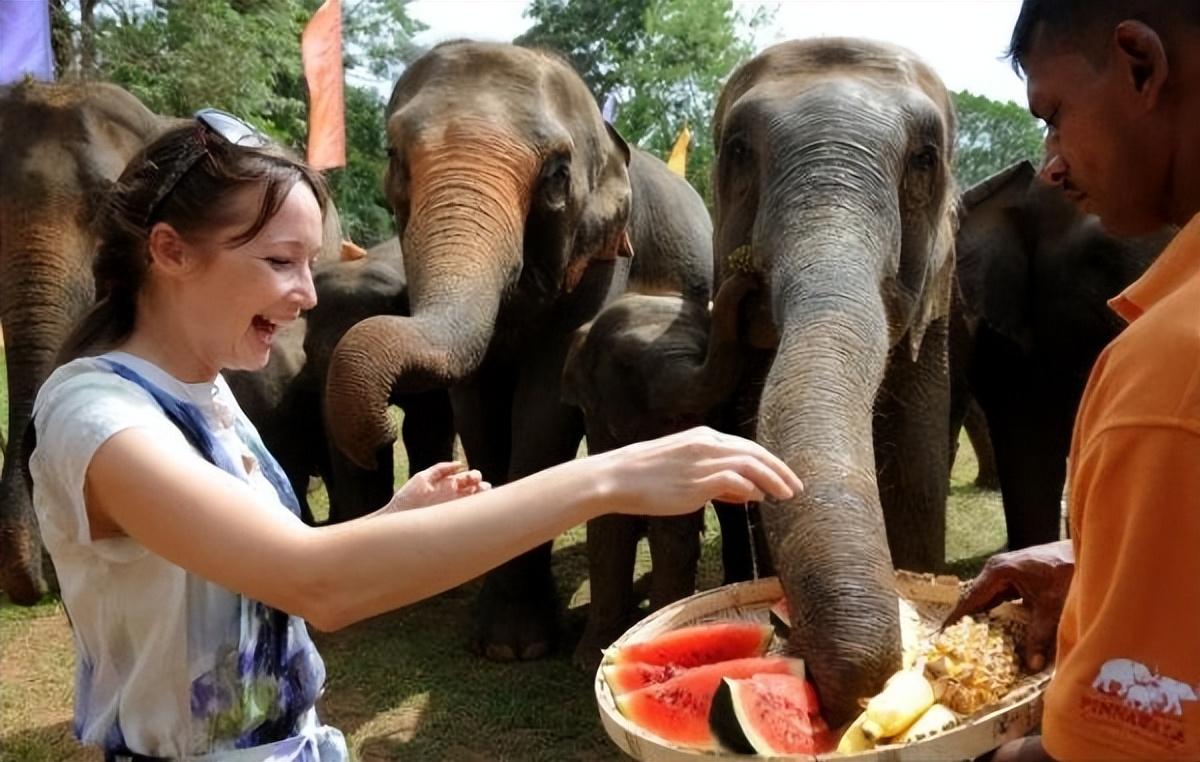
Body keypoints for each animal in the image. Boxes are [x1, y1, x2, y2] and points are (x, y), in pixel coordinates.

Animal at [321, 43, 710, 662]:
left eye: (556, 175)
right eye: (392, 155)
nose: (382, 429)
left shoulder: (604, 255)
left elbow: (543, 410)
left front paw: (517, 647)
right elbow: (476, 408)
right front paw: (497, 641)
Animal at [561, 272, 758, 667]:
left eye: (702, 351)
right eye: (625, 363)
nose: (747, 280)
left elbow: (672, 534)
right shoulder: (599, 429)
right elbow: (607, 530)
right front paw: (588, 658)